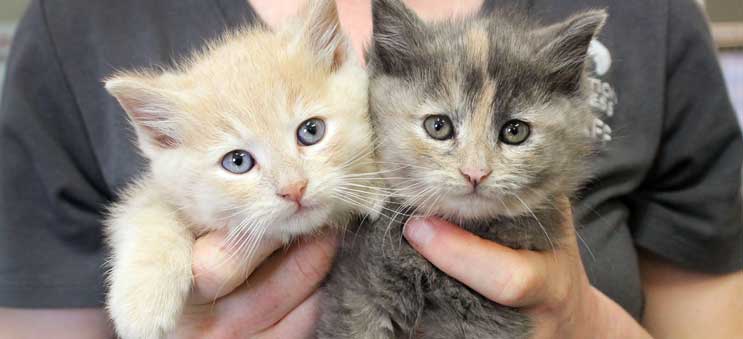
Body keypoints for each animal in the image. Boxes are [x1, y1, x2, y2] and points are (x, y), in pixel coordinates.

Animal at [104, 1, 380, 338]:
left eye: (311, 131)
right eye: (238, 161)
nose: (294, 188)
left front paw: (370, 190)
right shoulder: (154, 191)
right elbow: (149, 211)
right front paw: (143, 301)